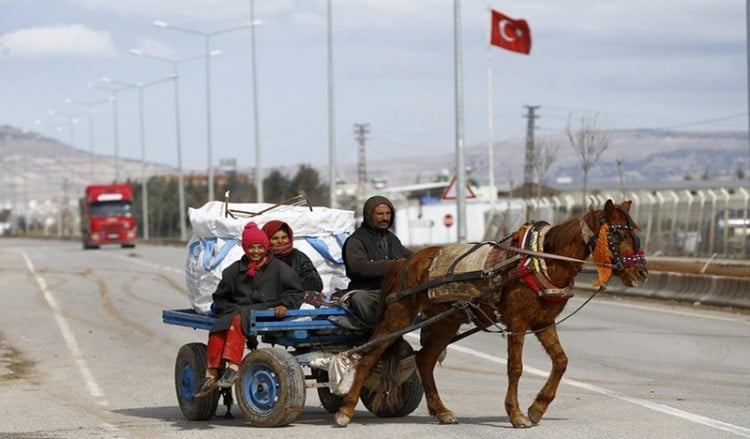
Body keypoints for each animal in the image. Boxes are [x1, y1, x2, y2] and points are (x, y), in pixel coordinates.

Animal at [334, 201, 648, 428]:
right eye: (618, 234)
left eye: (636, 231)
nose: (642, 273)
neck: (539, 260)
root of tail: (404, 260)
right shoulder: (517, 322)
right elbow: (515, 367)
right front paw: (516, 414)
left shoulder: (544, 321)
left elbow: (561, 362)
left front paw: (537, 408)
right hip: (397, 316)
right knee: (369, 357)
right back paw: (345, 411)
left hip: (446, 321)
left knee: (424, 359)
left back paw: (441, 411)